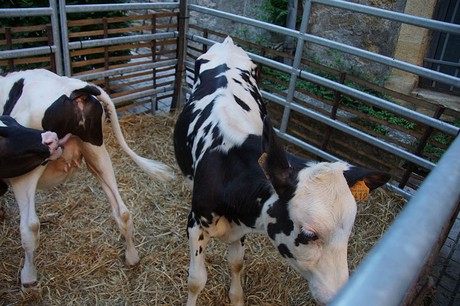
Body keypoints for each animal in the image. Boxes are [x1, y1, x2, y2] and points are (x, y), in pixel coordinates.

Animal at [174, 37, 390, 304]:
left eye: (350, 231)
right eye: (309, 234)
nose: (339, 294)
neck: (228, 168)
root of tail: (227, 43)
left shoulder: (242, 227)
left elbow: (236, 264)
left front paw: (237, 298)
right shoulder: (195, 225)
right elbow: (196, 280)